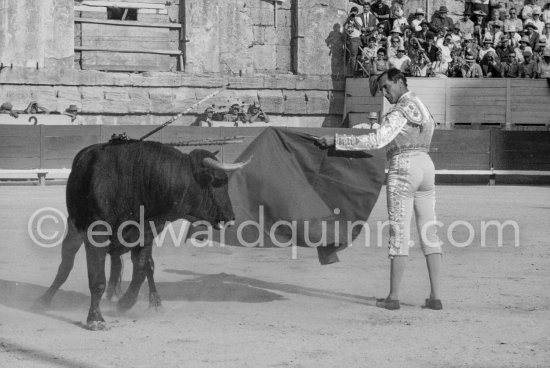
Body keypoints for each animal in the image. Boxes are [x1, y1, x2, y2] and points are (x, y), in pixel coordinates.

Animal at [35, 139, 250, 330]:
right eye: (215, 183)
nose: (231, 218)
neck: (136, 182)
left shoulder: (145, 234)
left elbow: (140, 271)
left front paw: (124, 303)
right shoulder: (96, 235)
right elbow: (97, 279)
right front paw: (95, 319)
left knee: (142, 267)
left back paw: (151, 302)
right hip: (75, 228)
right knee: (66, 264)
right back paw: (44, 299)